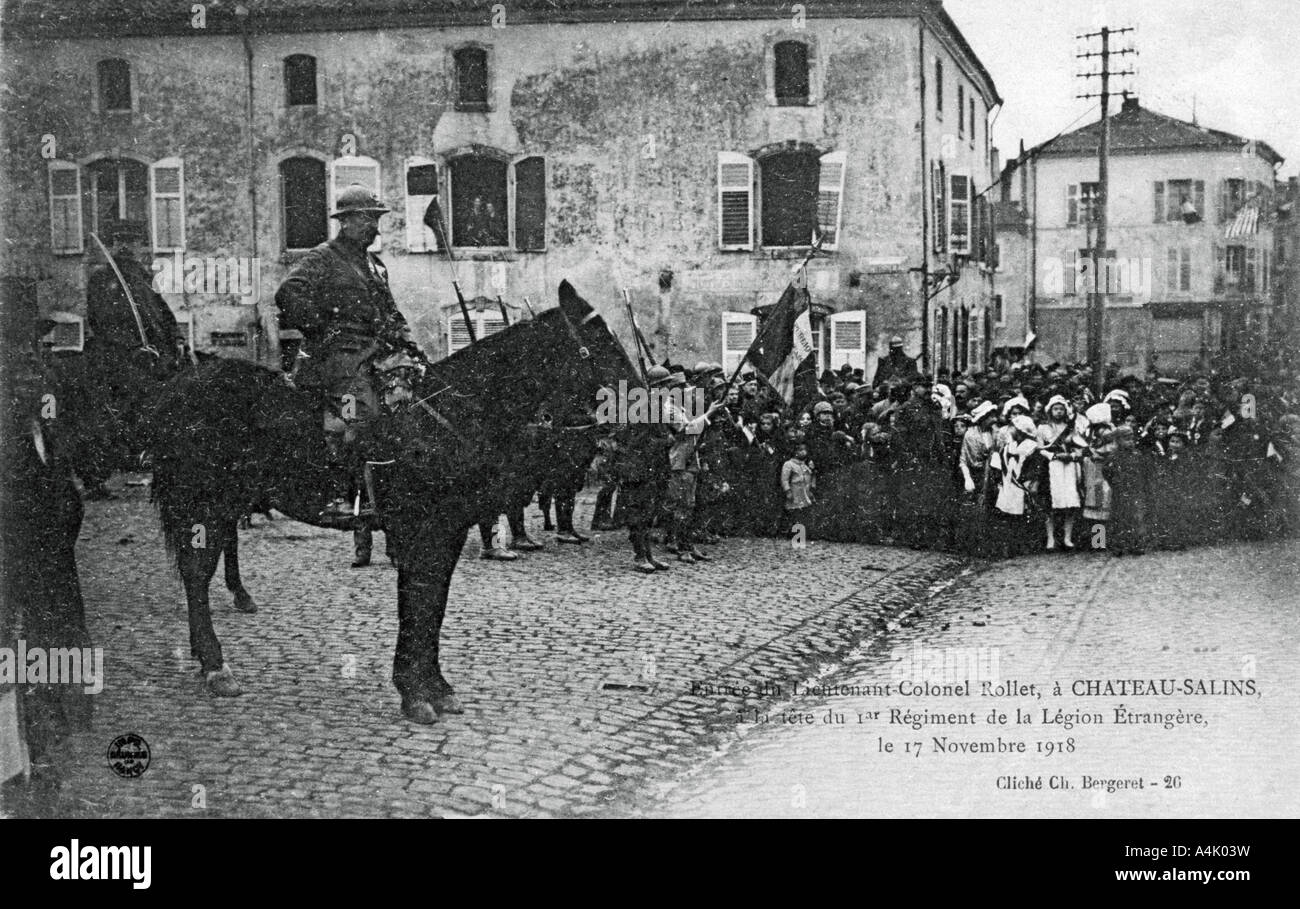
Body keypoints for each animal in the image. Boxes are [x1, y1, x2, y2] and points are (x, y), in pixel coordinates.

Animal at [148, 279, 639, 723]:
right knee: (197, 574)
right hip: (203, 504)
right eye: (600, 339)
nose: (642, 399)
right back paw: (216, 665)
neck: (449, 416)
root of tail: (178, 386)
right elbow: (416, 603)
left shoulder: (447, 531)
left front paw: (436, 687)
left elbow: (432, 606)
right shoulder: (418, 529)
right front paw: (414, 692)